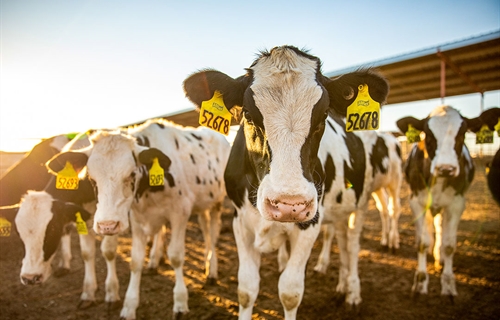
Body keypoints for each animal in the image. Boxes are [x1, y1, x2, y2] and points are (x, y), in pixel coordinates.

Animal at [47, 119, 231, 318]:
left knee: (212, 232)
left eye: (131, 174)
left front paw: (180, 303)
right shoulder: (137, 218)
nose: (107, 225)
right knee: (204, 228)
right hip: (202, 204)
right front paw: (129, 306)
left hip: (217, 202)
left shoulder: (180, 213)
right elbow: (135, 261)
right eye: (91, 178)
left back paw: (212, 271)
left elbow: (176, 256)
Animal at [182, 45, 388, 320]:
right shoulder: (240, 221)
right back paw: (342, 287)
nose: (290, 204)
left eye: (323, 115)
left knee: (352, 246)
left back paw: (353, 294)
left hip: (361, 203)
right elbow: (246, 289)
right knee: (343, 242)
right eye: (247, 114)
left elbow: (290, 293)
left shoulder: (311, 222)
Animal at [314, 131, 404, 274]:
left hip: (395, 180)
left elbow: (329, 231)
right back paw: (384, 240)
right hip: (376, 188)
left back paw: (393, 242)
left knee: (394, 209)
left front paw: (322, 263)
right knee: (383, 208)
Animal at [396, 106, 478, 302]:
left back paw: (438, 256)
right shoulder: (416, 202)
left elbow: (449, 245)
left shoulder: (457, 204)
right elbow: (422, 242)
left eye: (462, 133)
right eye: (428, 134)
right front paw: (420, 282)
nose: (446, 168)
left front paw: (448, 284)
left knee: (440, 227)